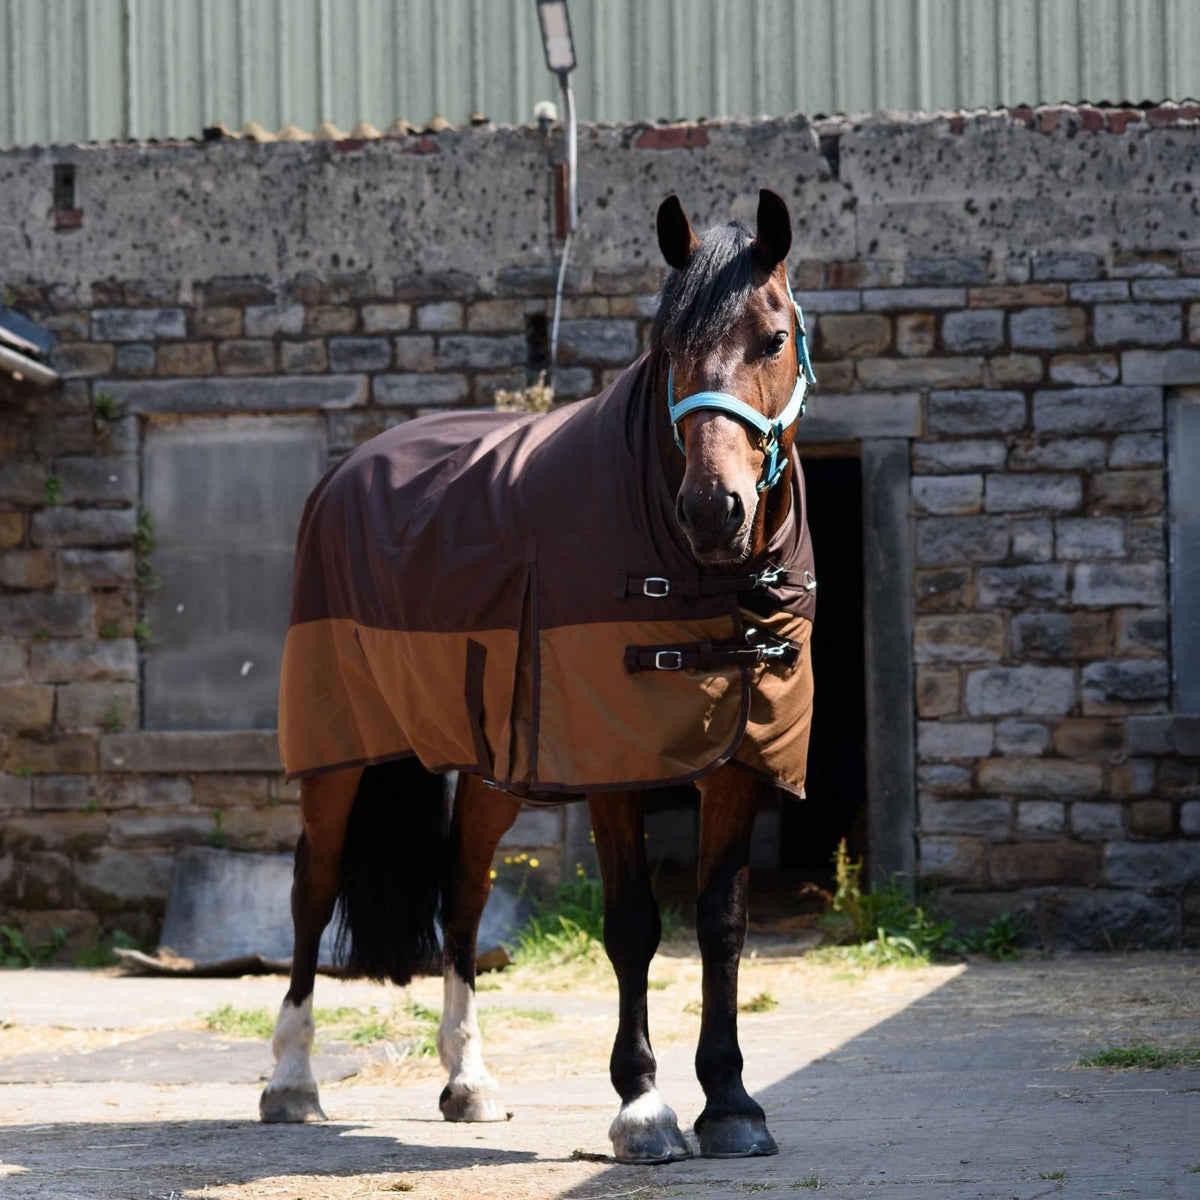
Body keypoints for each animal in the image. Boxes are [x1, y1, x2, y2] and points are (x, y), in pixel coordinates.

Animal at [260, 188, 817, 1165]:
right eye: (667, 345)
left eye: (773, 337)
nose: (713, 511)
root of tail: (351, 471)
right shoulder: (612, 764)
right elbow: (633, 925)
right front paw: (644, 1107)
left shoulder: (740, 764)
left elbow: (722, 925)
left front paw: (733, 1104)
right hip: (339, 754)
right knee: (311, 892)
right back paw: (292, 1082)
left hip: (490, 768)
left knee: (463, 896)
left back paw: (468, 1080)